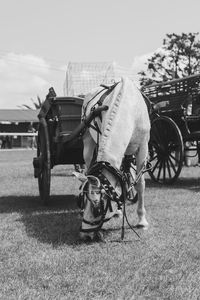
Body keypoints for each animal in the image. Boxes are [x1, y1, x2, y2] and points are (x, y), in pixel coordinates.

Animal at [74, 77, 151, 241]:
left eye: (97, 208)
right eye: (82, 201)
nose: (84, 235)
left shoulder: (143, 146)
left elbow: (140, 183)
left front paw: (142, 220)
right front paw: (119, 209)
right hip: (88, 140)